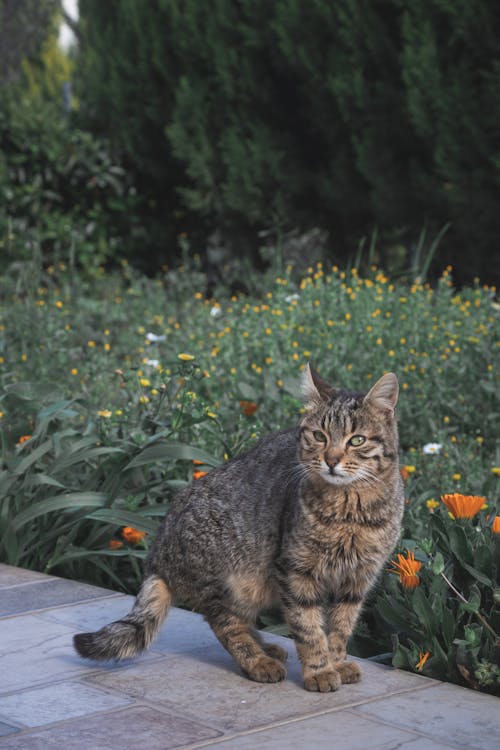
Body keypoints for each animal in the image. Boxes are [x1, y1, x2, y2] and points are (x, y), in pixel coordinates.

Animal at [74, 364, 404, 692]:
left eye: (356, 440)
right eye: (319, 436)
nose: (331, 460)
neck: (350, 513)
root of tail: (157, 552)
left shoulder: (357, 579)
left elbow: (340, 626)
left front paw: (336, 661)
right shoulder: (295, 571)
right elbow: (307, 627)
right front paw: (319, 670)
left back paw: (267, 648)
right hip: (226, 581)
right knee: (227, 625)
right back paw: (259, 661)